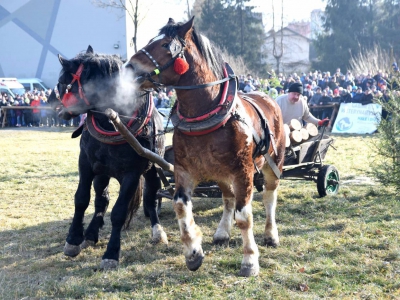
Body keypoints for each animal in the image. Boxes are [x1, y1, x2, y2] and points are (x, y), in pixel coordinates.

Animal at [48, 45, 167, 270]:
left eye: (61, 81)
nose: (57, 109)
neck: (114, 121)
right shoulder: (85, 163)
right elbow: (81, 199)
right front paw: (73, 239)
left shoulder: (133, 172)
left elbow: (119, 212)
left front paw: (111, 253)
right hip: (103, 172)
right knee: (101, 200)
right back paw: (90, 234)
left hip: (153, 169)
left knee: (151, 197)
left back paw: (157, 231)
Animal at [125, 17, 284, 276]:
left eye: (166, 44)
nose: (128, 68)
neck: (206, 113)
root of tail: (267, 97)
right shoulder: (184, 170)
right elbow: (181, 205)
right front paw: (193, 252)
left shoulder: (244, 172)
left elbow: (244, 217)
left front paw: (250, 260)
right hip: (220, 172)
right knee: (228, 199)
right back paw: (222, 232)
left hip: (273, 163)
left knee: (269, 196)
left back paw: (271, 234)